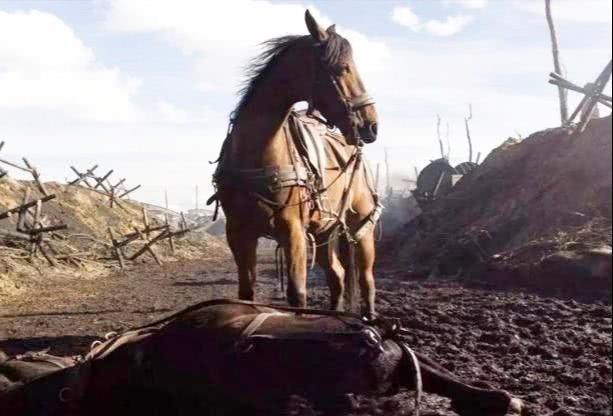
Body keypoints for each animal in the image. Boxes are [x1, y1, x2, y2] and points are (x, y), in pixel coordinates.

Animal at [213, 10, 380, 316]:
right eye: (342, 68)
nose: (371, 125)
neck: (256, 154)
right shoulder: (238, 232)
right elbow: (246, 293)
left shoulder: (292, 230)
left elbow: (297, 295)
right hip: (326, 230)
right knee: (337, 275)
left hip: (361, 227)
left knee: (366, 280)